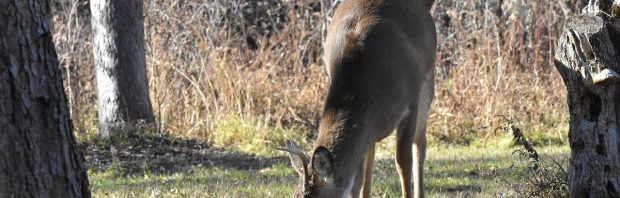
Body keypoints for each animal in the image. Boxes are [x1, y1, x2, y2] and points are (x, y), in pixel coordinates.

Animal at [280, 0, 436, 198]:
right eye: (295, 195)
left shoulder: (411, 99)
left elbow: (403, 161)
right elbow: (358, 178)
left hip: (428, 80)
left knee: (420, 142)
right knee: (369, 158)